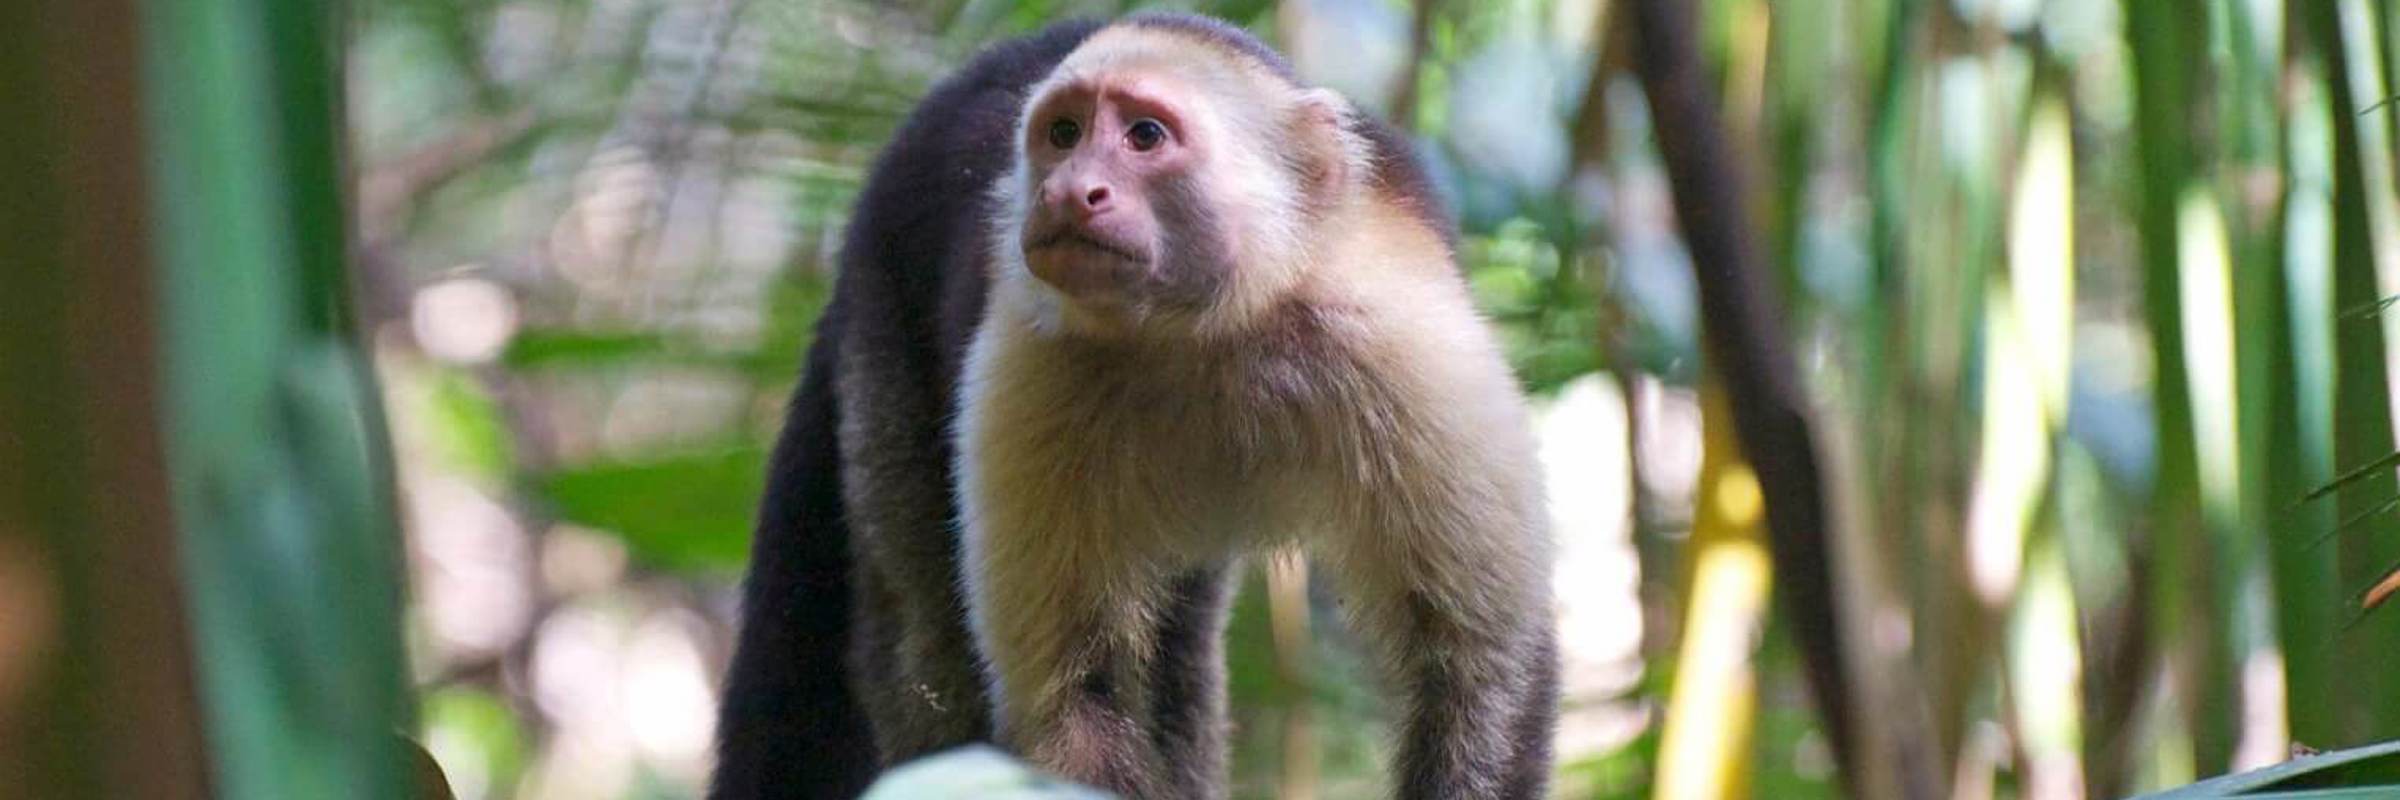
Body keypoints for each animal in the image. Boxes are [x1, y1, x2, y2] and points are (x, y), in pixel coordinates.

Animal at [713, 13, 1557, 800]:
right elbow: (1072, 705)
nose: (1067, 190)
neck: (1210, 330)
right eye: (1063, 135)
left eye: (1144, 136)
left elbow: (1481, 667)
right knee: (924, 636)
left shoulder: (1399, 336)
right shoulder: (1034, 365)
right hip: (880, 309)